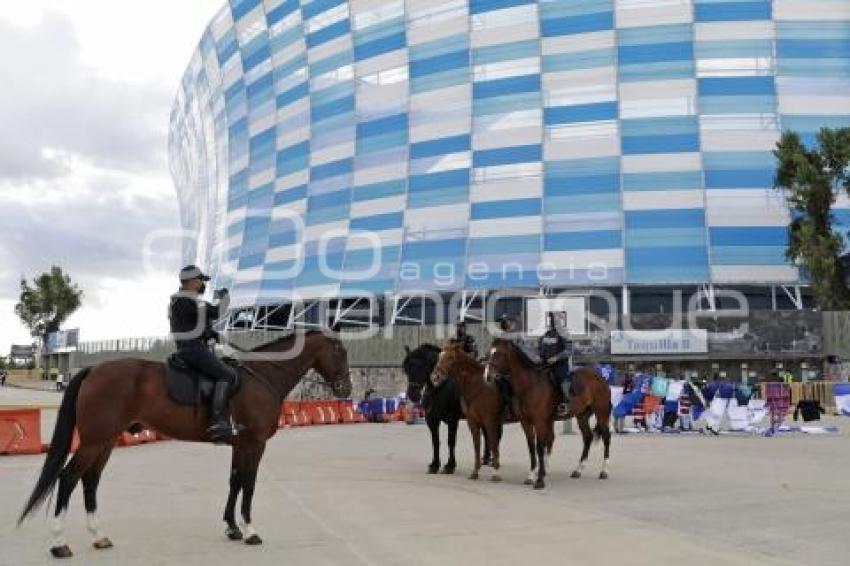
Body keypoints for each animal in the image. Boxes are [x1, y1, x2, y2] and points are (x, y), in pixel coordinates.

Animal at [19, 332, 352, 560]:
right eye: (339, 352)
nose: (345, 390)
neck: (262, 378)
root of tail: (94, 369)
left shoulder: (239, 445)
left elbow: (234, 482)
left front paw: (232, 528)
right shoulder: (254, 445)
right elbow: (249, 485)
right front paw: (250, 531)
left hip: (106, 441)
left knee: (90, 480)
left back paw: (98, 536)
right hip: (94, 441)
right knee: (68, 478)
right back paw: (59, 544)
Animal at [402, 346, 490, 474]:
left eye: (422, 366)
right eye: (407, 369)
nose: (413, 395)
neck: (440, 389)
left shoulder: (452, 420)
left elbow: (451, 441)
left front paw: (450, 466)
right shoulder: (432, 420)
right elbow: (436, 441)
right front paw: (434, 465)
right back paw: (486, 458)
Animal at [434, 342, 500, 484]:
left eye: (451, 357)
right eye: (439, 355)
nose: (436, 376)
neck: (479, 386)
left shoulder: (490, 421)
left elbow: (493, 443)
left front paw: (496, 473)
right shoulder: (473, 421)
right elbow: (477, 445)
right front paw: (475, 472)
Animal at [484, 340, 556, 490]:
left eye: (499, 354)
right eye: (489, 353)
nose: (487, 376)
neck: (530, 386)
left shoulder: (539, 420)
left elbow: (539, 447)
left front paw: (539, 481)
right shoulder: (526, 421)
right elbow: (531, 446)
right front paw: (531, 475)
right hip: (550, 419)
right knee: (551, 439)